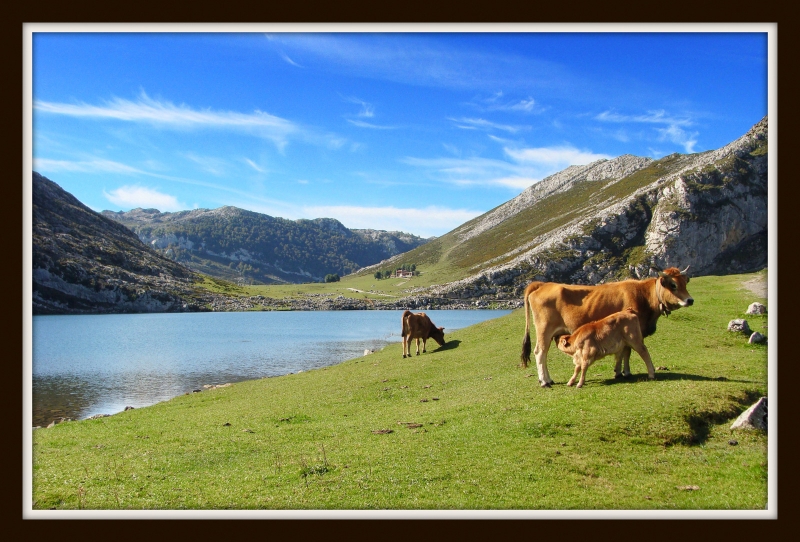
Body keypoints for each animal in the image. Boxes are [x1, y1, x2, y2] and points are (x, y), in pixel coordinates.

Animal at [520, 266, 692, 386]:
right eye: (673, 284)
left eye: (685, 282)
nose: (690, 300)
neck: (643, 295)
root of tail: (542, 284)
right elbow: (627, 351)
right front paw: (624, 372)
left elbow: (625, 352)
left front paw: (622, 371)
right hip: (544, 330)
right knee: (540, 352)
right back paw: (545, 381)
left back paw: (548, 379)